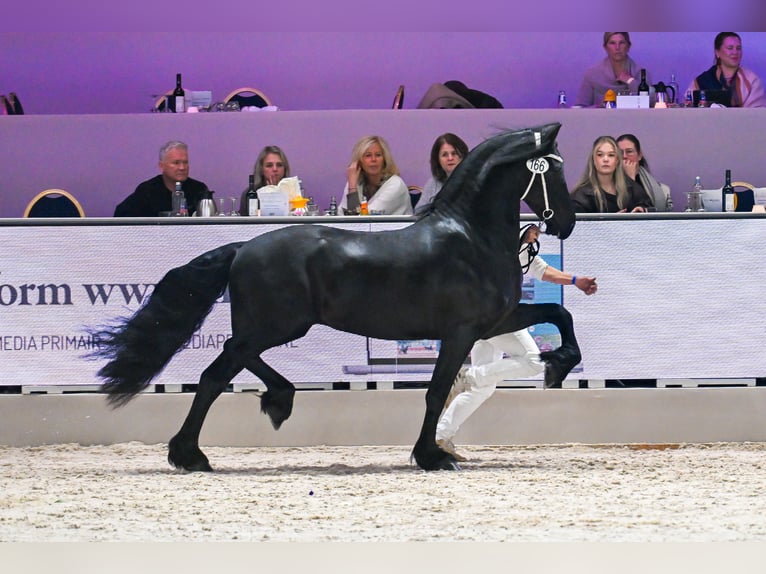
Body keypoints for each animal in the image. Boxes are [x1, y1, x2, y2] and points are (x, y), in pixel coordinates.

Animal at [88, 121, 580, 472]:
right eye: (552, 168)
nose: (568, 222)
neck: (471, 237)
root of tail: (242, 248)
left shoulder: (494, 320)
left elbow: (559, 312)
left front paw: (557, 365)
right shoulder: (461, 331)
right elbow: (437, 390)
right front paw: (431, 456)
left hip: (274, 326)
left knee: (232, 362)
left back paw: (268, 406)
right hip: (277, 325)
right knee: (217, 372)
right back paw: (195, 452)